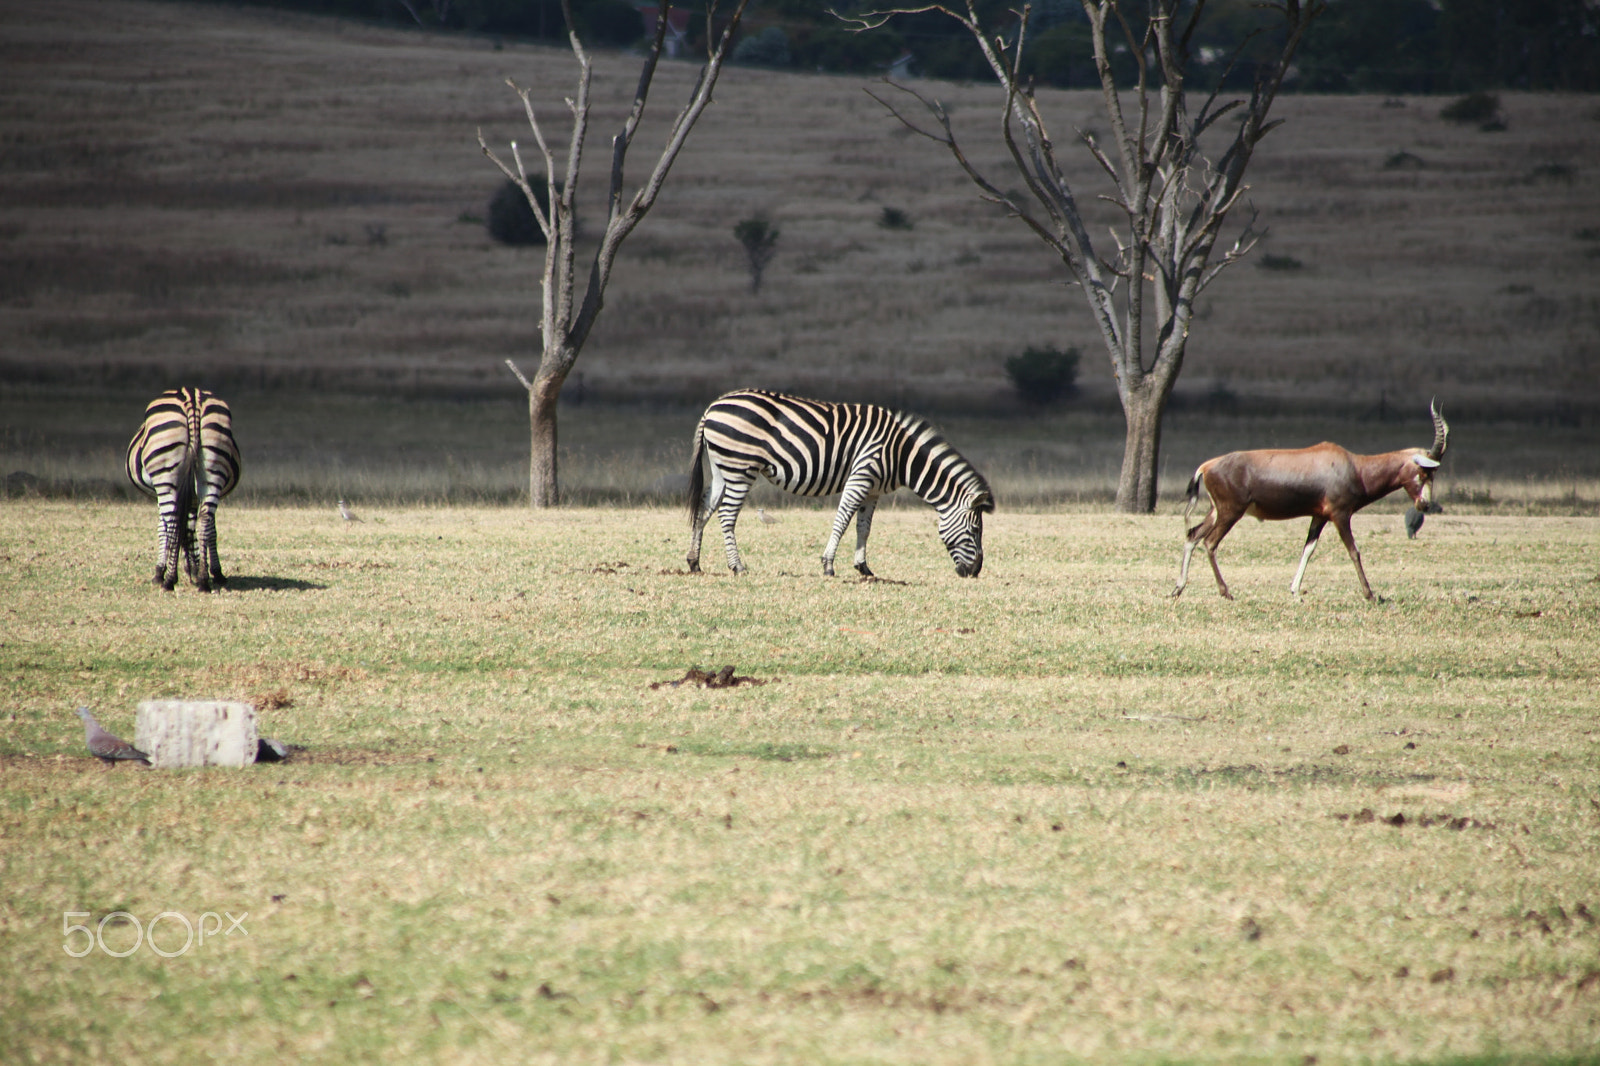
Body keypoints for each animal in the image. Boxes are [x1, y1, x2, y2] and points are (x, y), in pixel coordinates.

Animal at [1173, 402, 1449, 601]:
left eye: (1434, 472)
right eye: (1424, 471)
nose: (1424, 505)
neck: (1354, 466)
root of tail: (1206, 466)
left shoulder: (1320, 516)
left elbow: (1308, 549)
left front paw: (1295, 591)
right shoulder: (1340, 515)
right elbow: (1354, 551)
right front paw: (1370, 595)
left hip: (1216, 511)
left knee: (1192, 535)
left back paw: (1178, 588)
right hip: (1230, 512)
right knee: (1209, 542)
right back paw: (1226, 592)